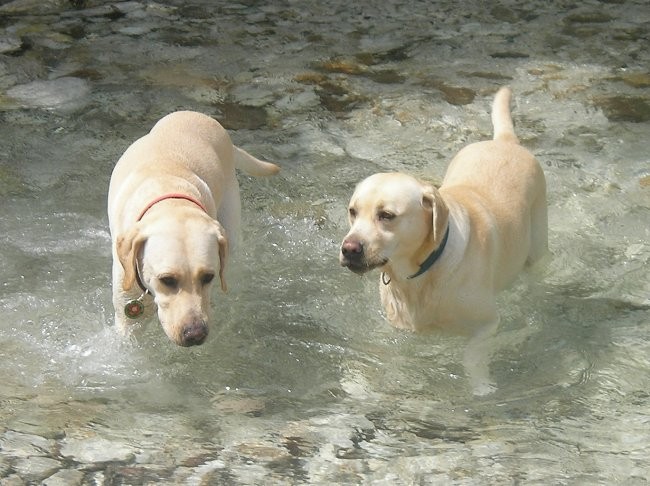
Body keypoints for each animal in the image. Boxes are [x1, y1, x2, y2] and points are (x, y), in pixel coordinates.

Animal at [107, 111, 278, 346]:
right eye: (167, 280)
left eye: (208, 277)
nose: (195, 334)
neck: (171, 200)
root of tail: (200, 116)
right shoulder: (128, 318)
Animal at [340, 86, 548, 392]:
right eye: (353, 211)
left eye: (387, 215)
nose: (349, 249)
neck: (419, 275)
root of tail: (504, 142)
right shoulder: (398, 325)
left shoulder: (487, 324)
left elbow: (472, 355)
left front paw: (481, 387)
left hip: (536, 245)